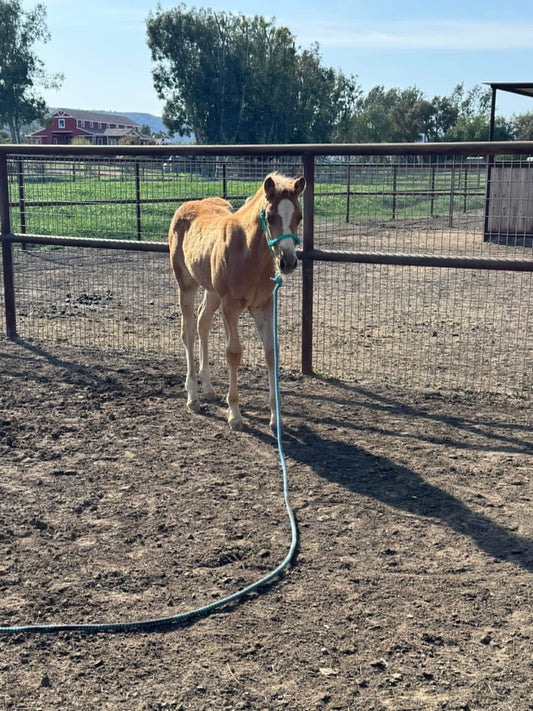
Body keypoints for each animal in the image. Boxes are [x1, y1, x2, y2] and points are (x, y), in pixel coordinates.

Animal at [168, 172, 306, 431]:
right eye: (270, 217)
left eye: (299, 216)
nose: (288, 262)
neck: (249, 253)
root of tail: (184, 207)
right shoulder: (230, 305)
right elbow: (233, 352)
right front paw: (234, 413)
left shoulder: (264, 306)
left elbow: (271, 352)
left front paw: (275, 417)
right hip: (187, 285)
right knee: (188, 331)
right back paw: (193, 397)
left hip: (212, 291)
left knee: (202, 322)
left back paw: (208, 388)